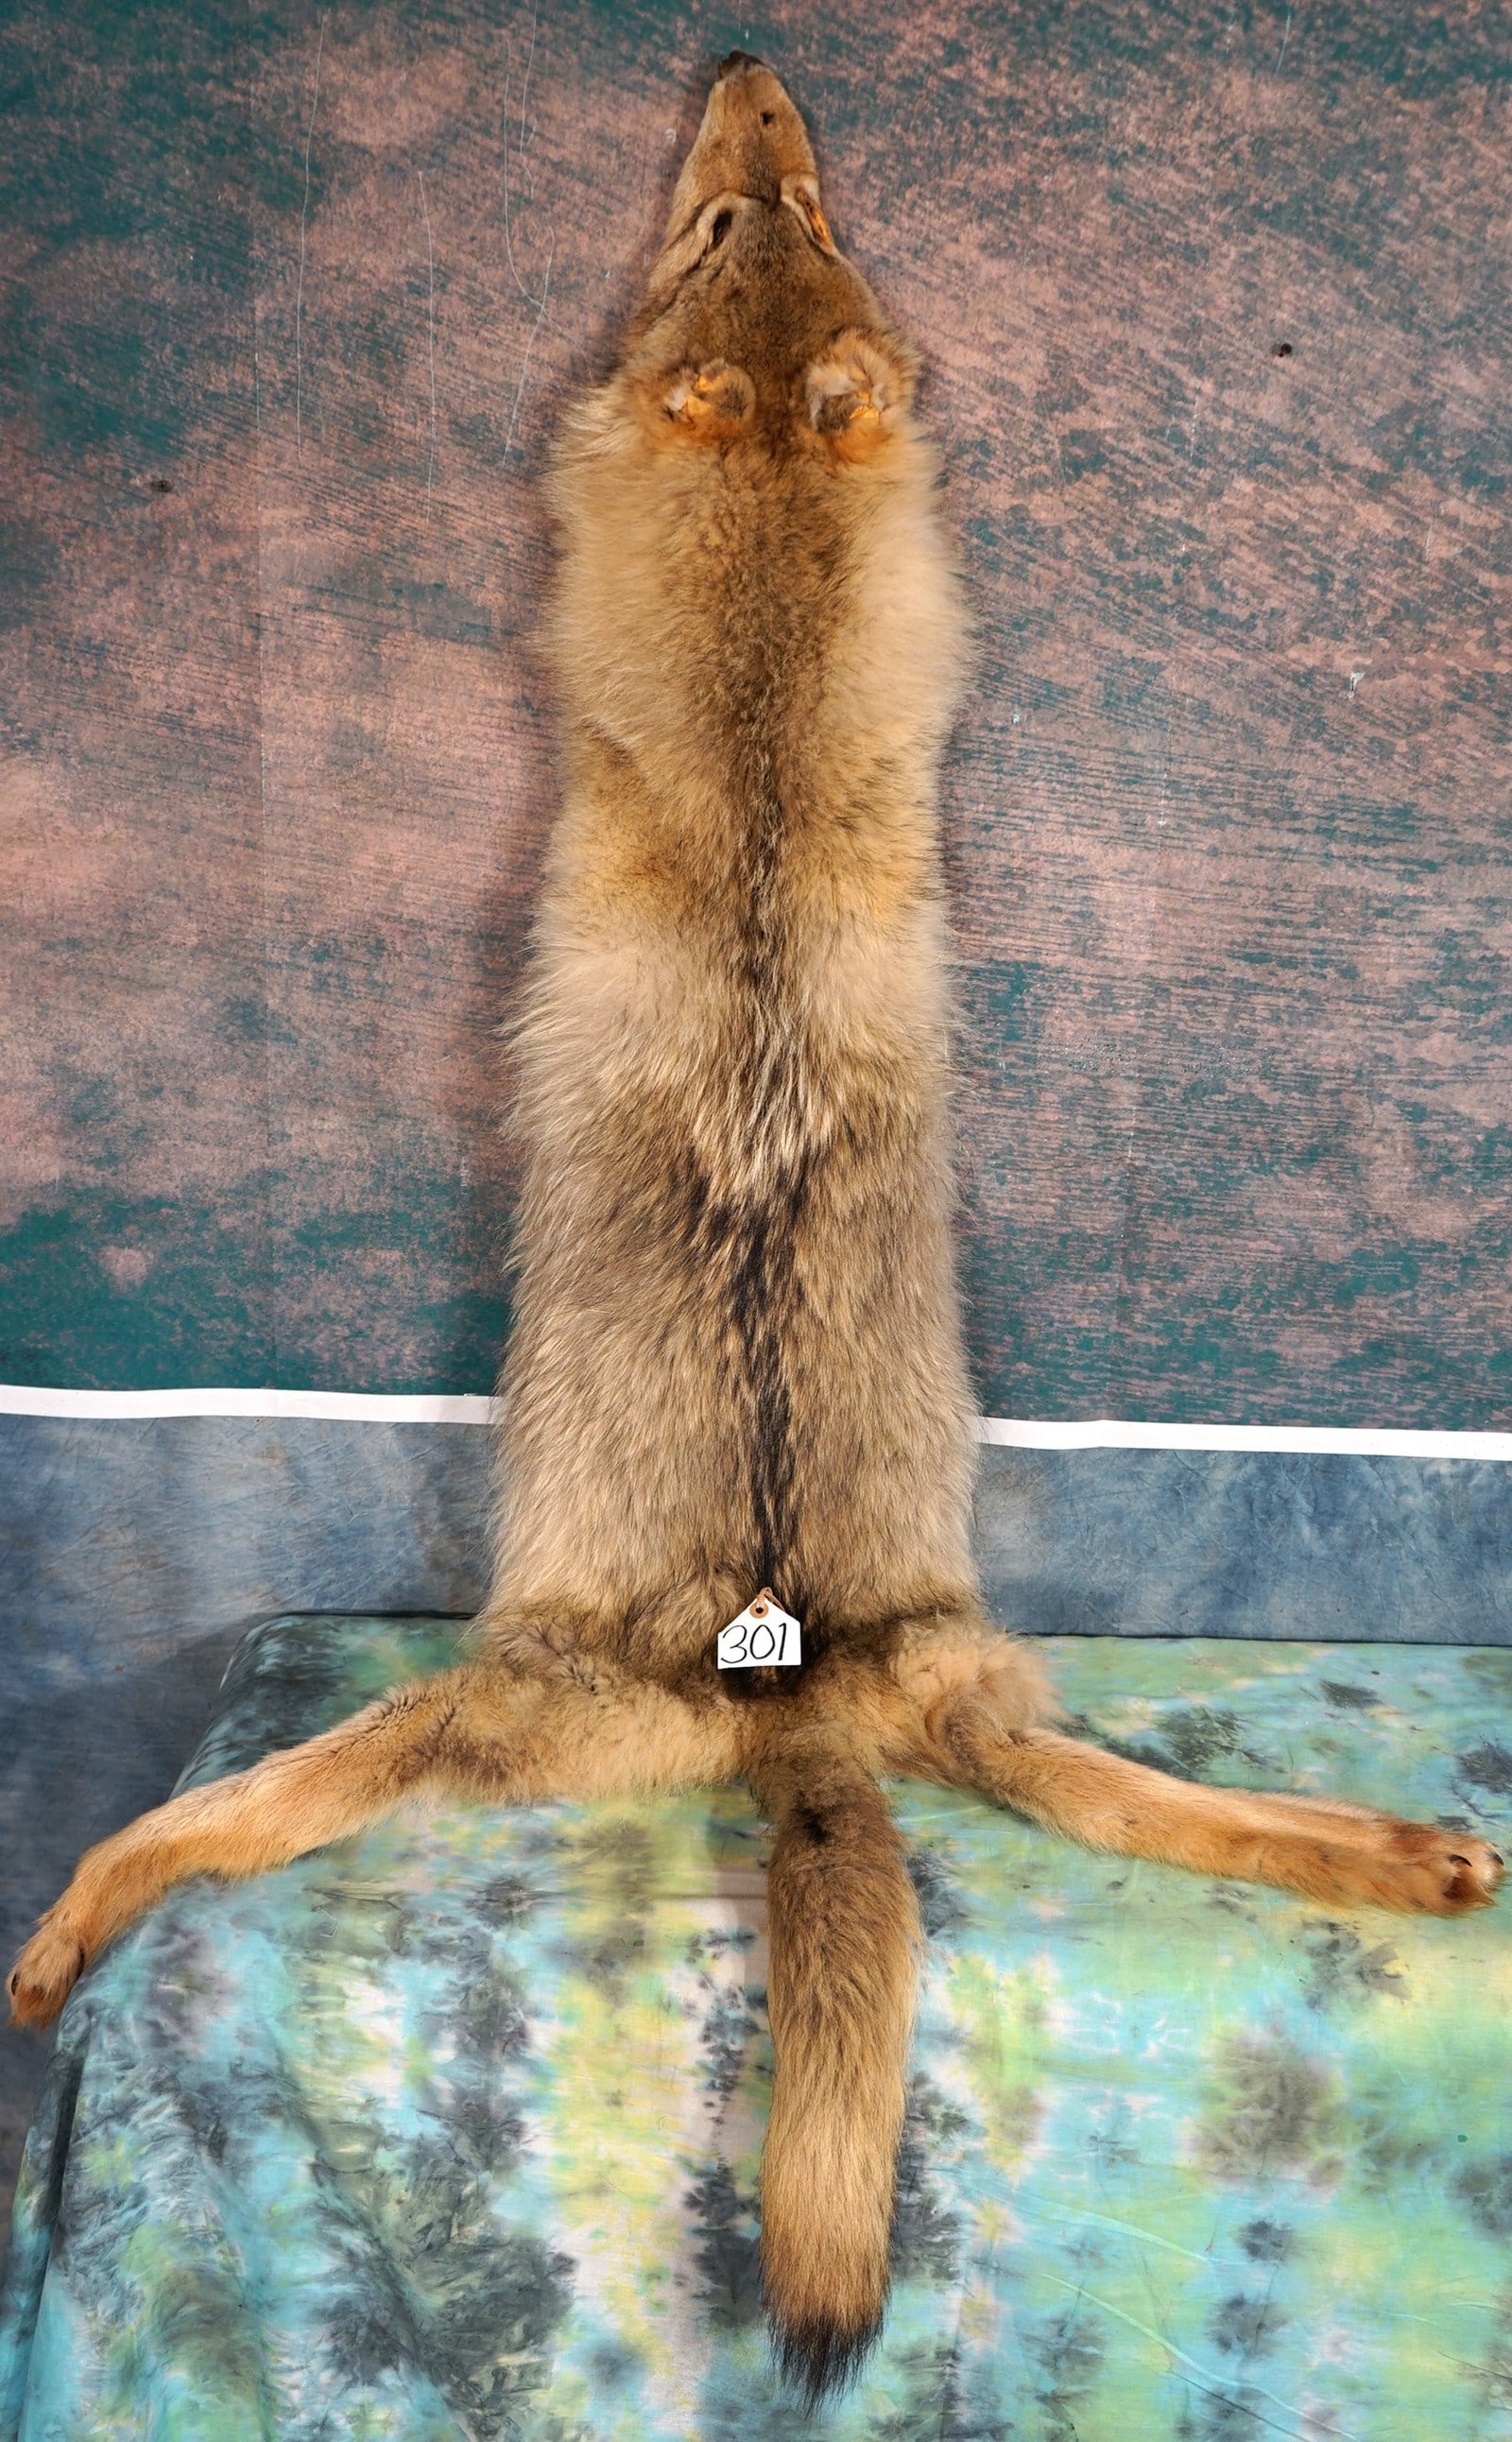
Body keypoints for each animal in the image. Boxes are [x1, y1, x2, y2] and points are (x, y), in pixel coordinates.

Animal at [11, 55, 1502, 2397]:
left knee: (198, 1826)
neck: (773, 624)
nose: (743, 65)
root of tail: (781, 1665)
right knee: (1123, 1797)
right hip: (977, 1685)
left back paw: (61, 1928)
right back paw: (1424, 1860)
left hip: (455, 1710)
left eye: (761, 211)